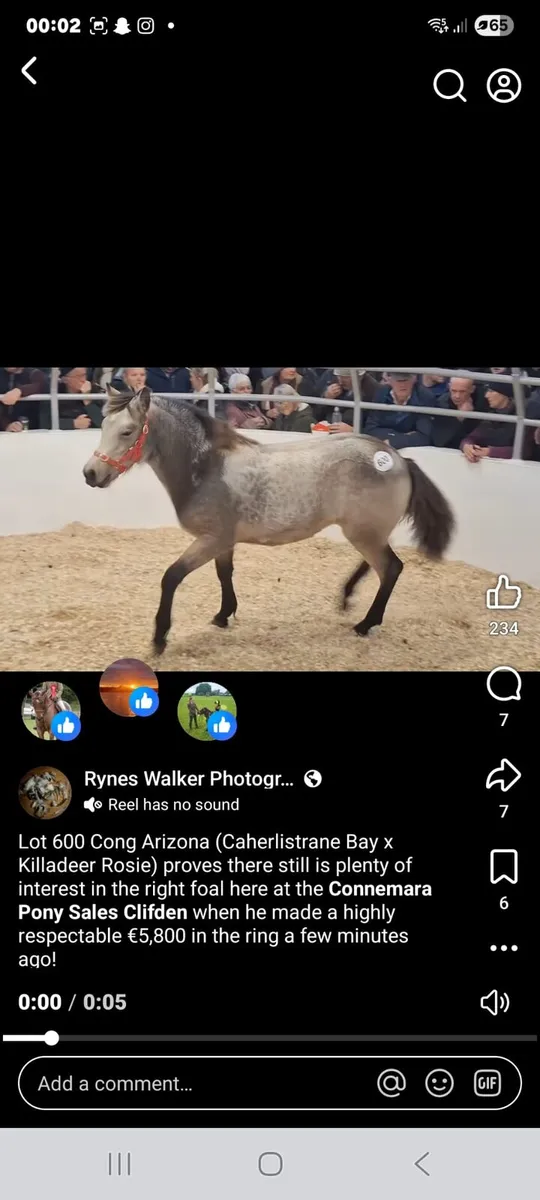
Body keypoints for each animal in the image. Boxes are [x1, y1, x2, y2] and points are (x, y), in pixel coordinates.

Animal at [83, 386, 455, 654]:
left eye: (127, 432)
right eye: (103, 427)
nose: (91, 473)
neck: (205, 468)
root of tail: (399, 459)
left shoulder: (210, 540)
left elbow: (171, 578)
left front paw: (160, 638)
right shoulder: (223, 542)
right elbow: (224, 574)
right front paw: (224, 616)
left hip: (364, 533)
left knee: (391, 568)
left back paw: (365, 624)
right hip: (365, 531)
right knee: (377, 564)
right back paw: (347, 598)